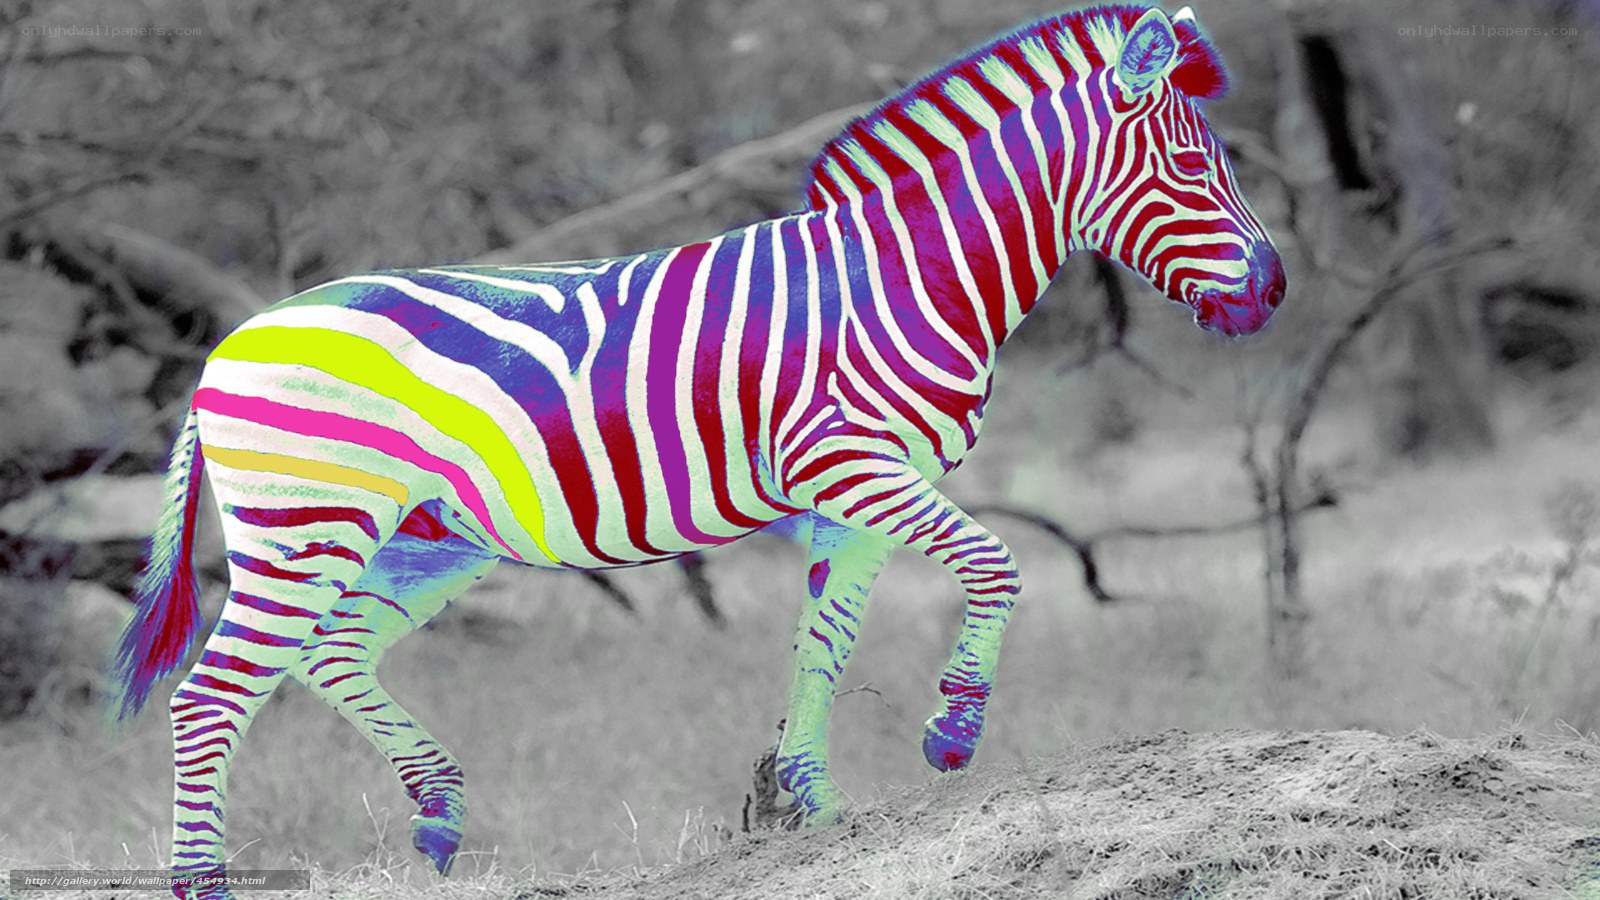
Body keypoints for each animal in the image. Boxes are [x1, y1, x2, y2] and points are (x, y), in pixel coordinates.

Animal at [112, 5, 1284, 896]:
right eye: (1193, 167)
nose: (1274, 291)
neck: (910, 274)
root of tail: (232, 339)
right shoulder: (850, 463)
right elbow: (996, 563)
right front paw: (951, 735)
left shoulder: (860, 491)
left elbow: (822, 642)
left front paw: (814, 806)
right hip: (305, 525)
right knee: (212, 697)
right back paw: (203, 881)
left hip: (423, 536)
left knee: (332, 652)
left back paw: (439, 814)